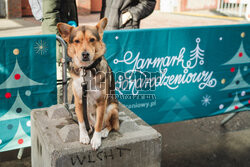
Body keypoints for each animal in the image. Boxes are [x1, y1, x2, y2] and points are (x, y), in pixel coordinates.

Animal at [57, 18, 119, 150]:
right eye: (76, 41)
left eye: (92, 39)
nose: (85, 54)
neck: (87, 69)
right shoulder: (78, 101)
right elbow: (81, 122)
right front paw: (84, 136)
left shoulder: (101, 103)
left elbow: (99, 123)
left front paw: (96, 139)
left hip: (112, 108)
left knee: (111, 125)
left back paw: (104, 132)